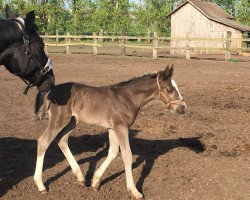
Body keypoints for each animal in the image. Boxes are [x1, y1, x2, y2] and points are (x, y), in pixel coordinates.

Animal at [33, 65, 186, 198]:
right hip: (59, 120)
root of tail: (52, 91)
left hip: (72, 121)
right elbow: (127, 155)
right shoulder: (121, 127)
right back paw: (41, 185)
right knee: (43, 142)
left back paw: (81, 178)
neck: (128, 98)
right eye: (170, 89)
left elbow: (113, 152)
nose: (183, 108)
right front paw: (134, 190)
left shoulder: (112, 128)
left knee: (62, 140)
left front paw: (95, 182)